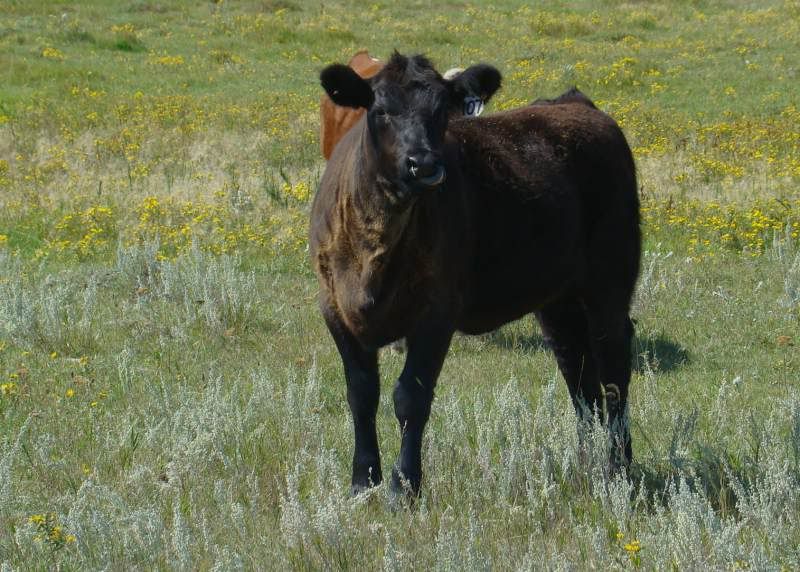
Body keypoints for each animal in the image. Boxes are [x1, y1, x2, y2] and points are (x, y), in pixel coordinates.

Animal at [310, 52, 641, 497]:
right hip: (557, 299)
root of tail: (574, 103)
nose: (423, 164)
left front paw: (403, 486)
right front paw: (363, 483)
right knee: (578, 371)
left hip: (610, 281)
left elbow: (410, 397)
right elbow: (362, 394)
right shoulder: (335, 307)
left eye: (441, 112)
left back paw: (617, 471)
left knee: (613, 368)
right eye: (380, 111)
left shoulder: (437, 311)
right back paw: (587, 466)